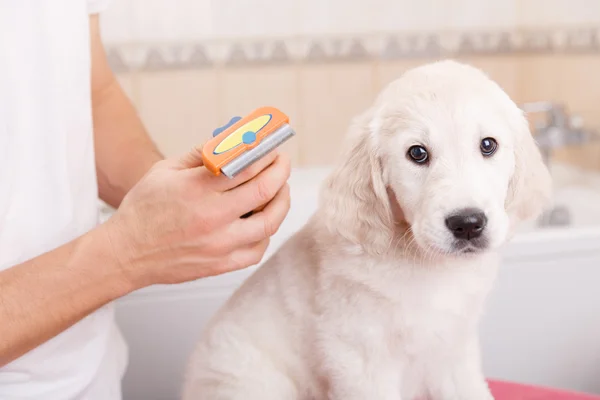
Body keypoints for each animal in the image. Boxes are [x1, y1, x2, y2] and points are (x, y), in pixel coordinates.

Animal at [183, 60, 552, 400]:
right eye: (417, 153)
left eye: (488, 145)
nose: (468, 224)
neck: (426, 266)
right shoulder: (361, 360)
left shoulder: (453, 350)